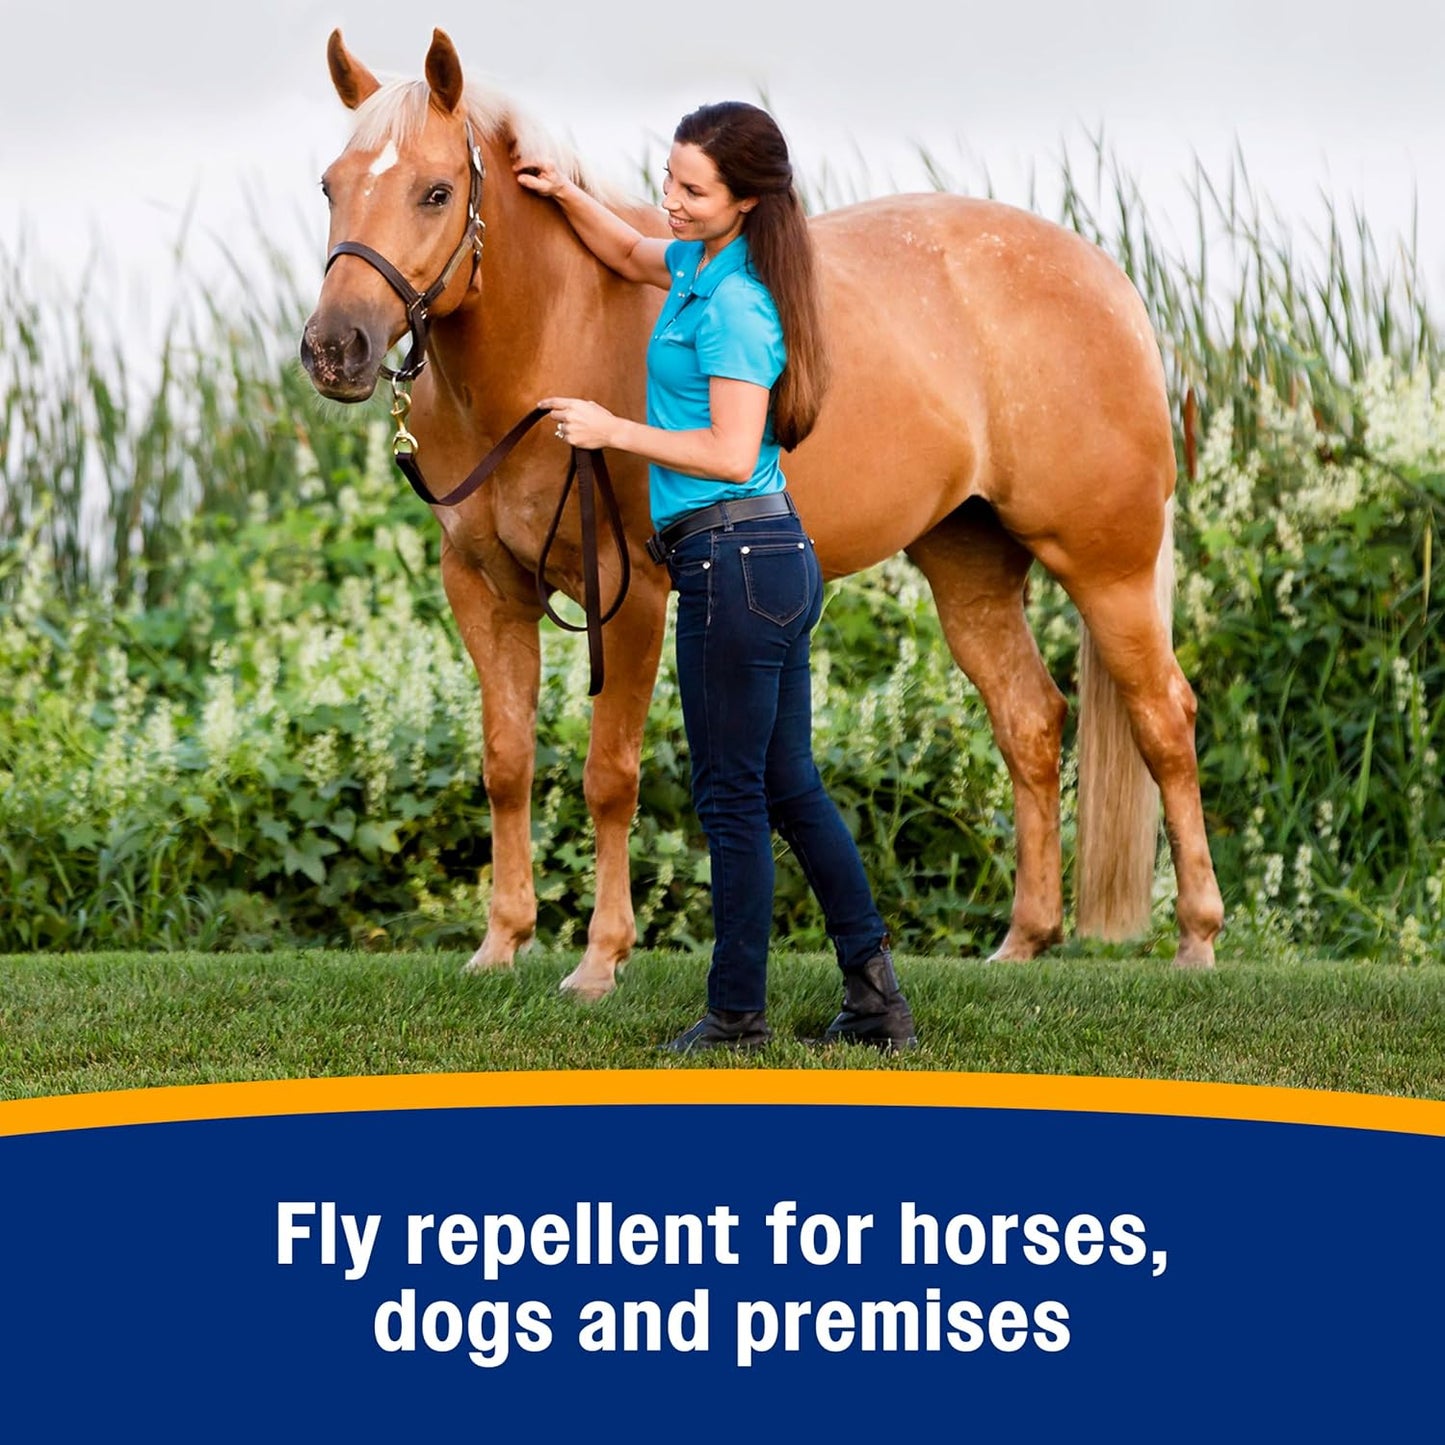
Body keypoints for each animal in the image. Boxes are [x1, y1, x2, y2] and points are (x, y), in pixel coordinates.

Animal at [300, 27, 1225, 999]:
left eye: (436, 192)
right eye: (330, 184)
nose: (334, 349)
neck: (553, 336)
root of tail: (1108, 282)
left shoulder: (628, 594)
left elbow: (608, 775)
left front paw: (599, 958)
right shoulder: (484, 588)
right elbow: (506, 763)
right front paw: (502, 942)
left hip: (1106, 566)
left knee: (1164, 719)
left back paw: (1196, 936)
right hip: (969, 568)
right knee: (1031, 722)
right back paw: (1024, 938)